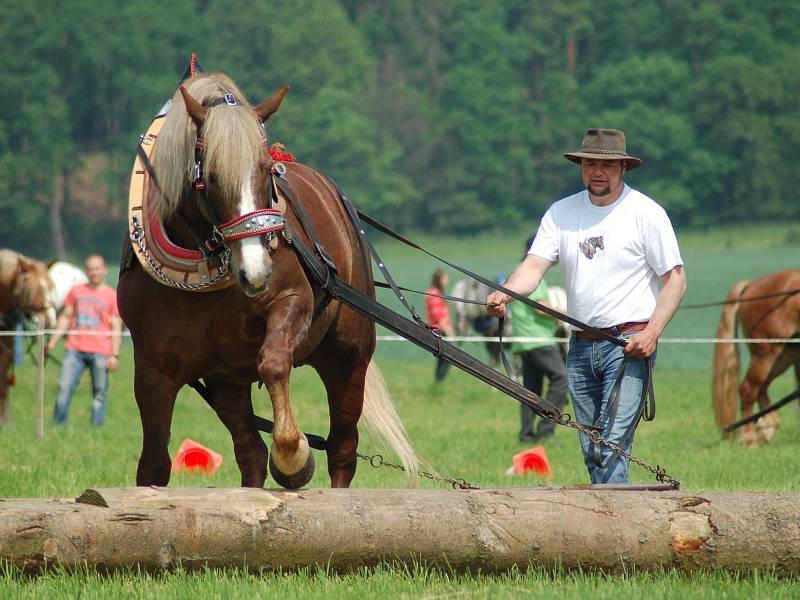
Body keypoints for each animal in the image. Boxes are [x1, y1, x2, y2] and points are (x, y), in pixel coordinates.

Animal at [0, 248, 56, 422]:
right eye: (32, 288)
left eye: (51, 287)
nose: (50, 320)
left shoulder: (7, 353)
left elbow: (3, 383)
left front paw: (5, 420)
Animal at [120, 72, 418, 490]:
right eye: (211, 176)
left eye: (265, 169)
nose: (257, 271)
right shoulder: (152, 365)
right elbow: (153, 465)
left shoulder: (294, 302)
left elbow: (275, 364)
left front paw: (293, 455)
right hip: (226, 379)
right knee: (250, 451)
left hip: (349, 355)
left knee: (343, 447)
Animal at [712, 270, 800, 448]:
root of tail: (752, 285)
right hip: (767, 352)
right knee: (748, 389)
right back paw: (749, 438)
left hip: (785, 354)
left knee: (761, 388)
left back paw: (767, 427)